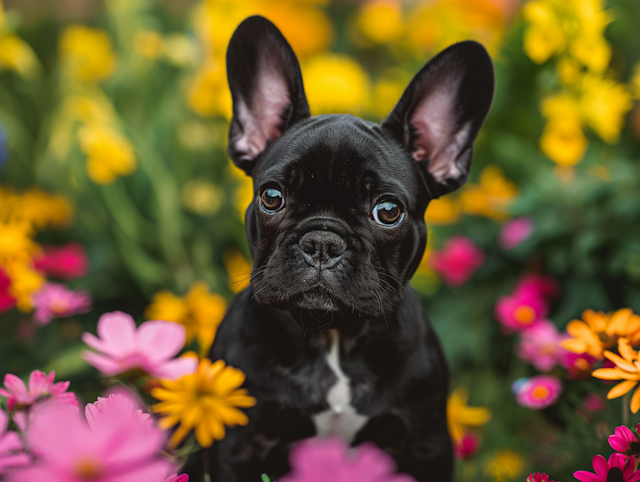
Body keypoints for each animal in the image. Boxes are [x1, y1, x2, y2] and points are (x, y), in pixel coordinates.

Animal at [198, 14, 492, 482]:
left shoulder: (425, 443)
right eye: (272, 197)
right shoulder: (238, 443)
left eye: (388, 210)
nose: (322, 241)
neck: (333, 336)